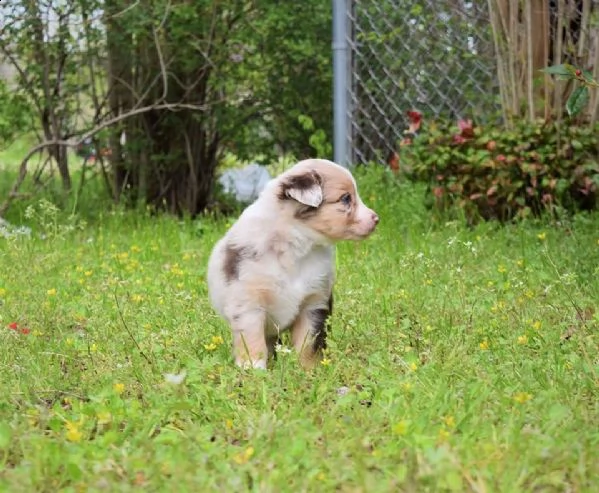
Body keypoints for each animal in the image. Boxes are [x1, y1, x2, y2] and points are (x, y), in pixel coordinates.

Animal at [207, 160, 380, 368]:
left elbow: (308, 343)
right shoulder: (248, 302)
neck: (297, 246)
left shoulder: (314, 301)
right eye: (346, 198)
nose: (376, 219)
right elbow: (252, 340)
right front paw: (253, 369)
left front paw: (308, 369)